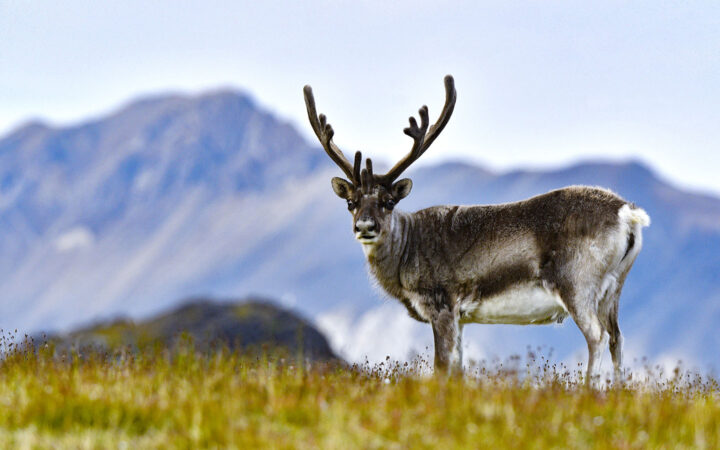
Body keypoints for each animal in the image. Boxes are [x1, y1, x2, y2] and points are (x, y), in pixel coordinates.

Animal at [303, 75, 650, 383]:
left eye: (389, 201)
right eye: (351, 202)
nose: (365, 226)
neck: (404, 257)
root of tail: (628, 214)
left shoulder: (442, 305)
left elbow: (442, 368)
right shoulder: (462, 318)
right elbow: (459, 369)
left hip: (576, 284)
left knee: (597, 336)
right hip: (613, 289)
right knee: (617, 338)